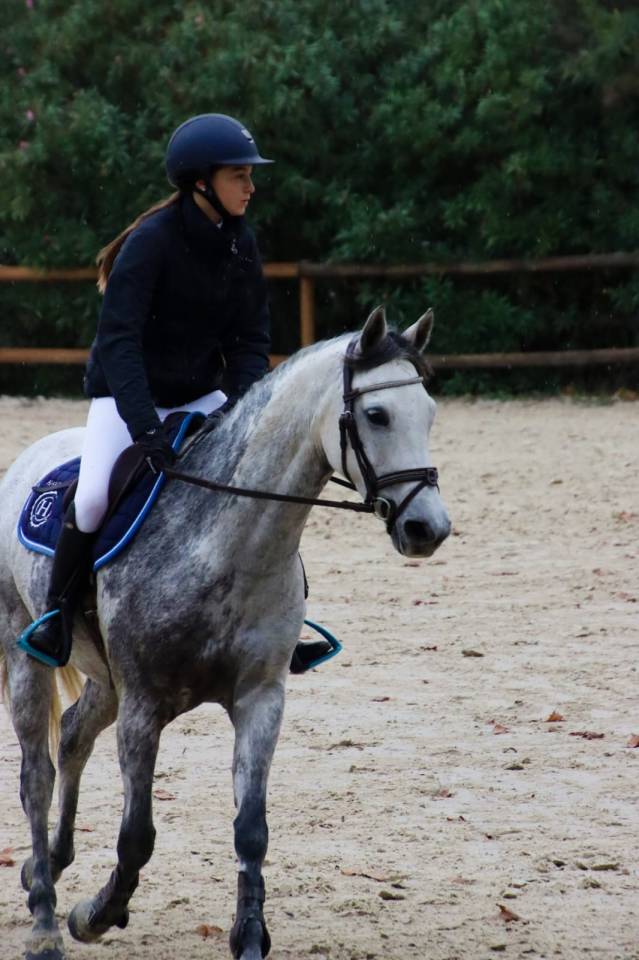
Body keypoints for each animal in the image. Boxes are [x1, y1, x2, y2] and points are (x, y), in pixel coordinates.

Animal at [0, 306, 451, 960]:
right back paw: (43, 918)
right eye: (377, 415)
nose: (428, 529)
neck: (229, 545)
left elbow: (251, 829)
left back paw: (50, 865)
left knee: (76, 735)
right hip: (25, 654)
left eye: (430, 413)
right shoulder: (143, 704)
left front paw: (251, 935)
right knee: (37, 773)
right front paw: (96, 914)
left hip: (104, 677)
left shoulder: (260, 697)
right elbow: (137, 835)